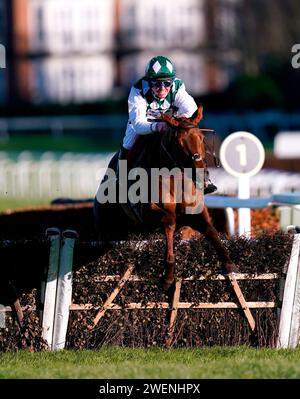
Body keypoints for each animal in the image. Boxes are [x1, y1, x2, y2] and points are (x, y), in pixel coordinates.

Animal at [94, 104, 237, 290]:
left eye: (201, 137)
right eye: (178, 142)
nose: (201, 175)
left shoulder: (196, 214)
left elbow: (210, 230)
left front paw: (228, 262)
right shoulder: (149, 212)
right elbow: (169, 222)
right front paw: (168, 273)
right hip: (107, 228)